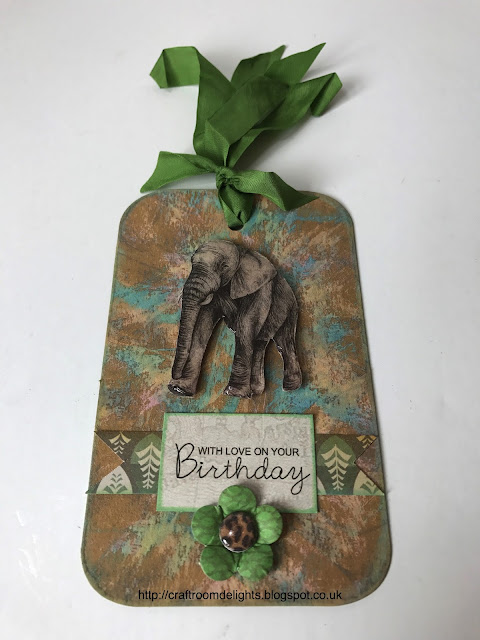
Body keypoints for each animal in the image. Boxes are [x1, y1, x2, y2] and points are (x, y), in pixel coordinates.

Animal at [168, 240, 302, 399]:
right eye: (192, 264)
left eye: (223, 266)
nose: (173, 381)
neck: (242, 252)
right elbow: (202, 324)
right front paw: (180, 389)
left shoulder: (261, 289)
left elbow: (246, 323)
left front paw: (233, 393)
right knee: (259, 344)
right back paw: (255, 392)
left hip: (290, 309)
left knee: (284, 343)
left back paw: (290, 388)